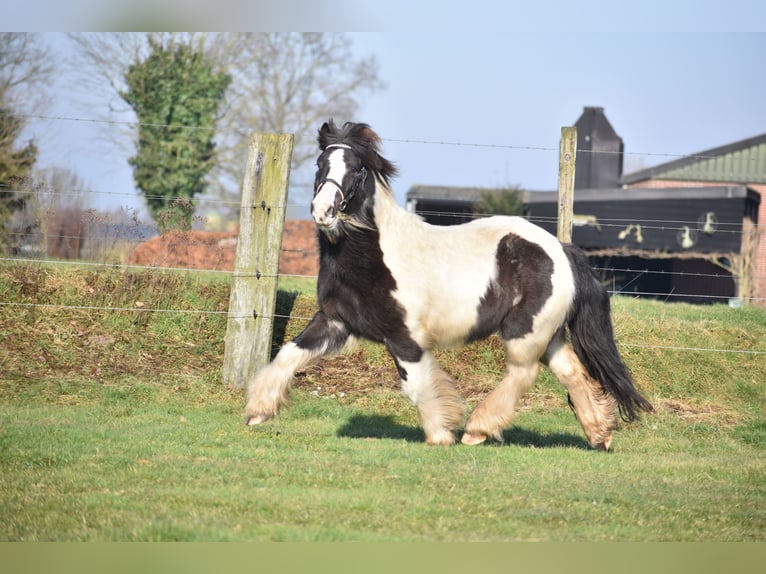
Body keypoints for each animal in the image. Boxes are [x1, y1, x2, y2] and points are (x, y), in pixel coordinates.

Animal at [246, 120, 656, 450]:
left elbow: (415, 385)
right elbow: (288, 353)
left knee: (523, 374)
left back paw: (477, 429)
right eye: (321, 164)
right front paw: (256, 411)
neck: (374, 257)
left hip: (525, 332)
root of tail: (561, 249)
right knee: (571, 372)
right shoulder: (335, 322)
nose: (323, 211)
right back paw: (599, 434)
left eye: (358, 170)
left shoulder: (404, 337)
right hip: (547, 332)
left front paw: (441, 433)